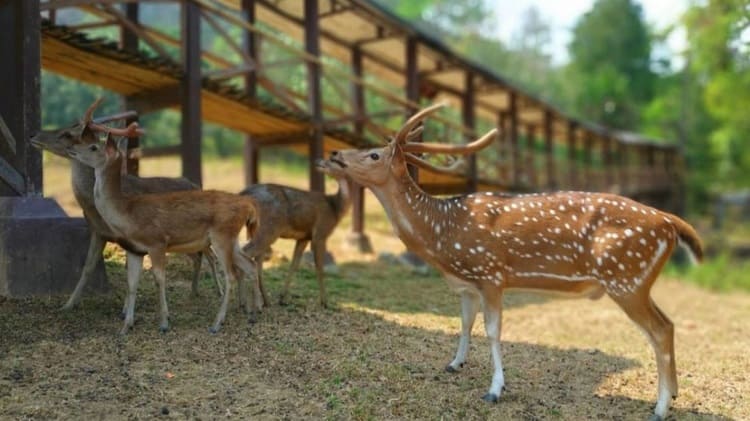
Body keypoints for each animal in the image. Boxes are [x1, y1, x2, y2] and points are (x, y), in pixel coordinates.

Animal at [30, 98, 219, 308]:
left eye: (67, 134)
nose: (34, 134)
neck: (95, 207)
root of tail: (196, 184)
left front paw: (125, 309)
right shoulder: (97, 231)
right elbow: (87, 267)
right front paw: (68, 305)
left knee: (210, 254)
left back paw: (217, 292)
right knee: (199, 255)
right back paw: (194, 292)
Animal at [65, 131, 264, 334]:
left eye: (93, 147)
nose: (71, 147)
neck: (127, 213)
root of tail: (248, 205)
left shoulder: (157, 242)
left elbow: (159, 279)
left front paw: (164, 323)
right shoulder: (135, 250)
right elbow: (132, 283)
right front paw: (125, 327)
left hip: (222, 236)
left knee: (231, 274)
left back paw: (217, 323)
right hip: (232, 240)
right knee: (249, 265)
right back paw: (254, 313)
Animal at [322, 102, 704, 420]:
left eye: (373, 154)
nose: (333, 153)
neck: (442, 237)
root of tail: (672, 223)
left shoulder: (491, 273)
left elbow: (493, 331)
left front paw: (494, 390)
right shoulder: (467, 285)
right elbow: (465, 324)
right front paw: (454, 364)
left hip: (626, 278)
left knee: (659, 330)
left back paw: (660, 408)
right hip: (637, 282)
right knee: (668, 324)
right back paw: (674, 394)